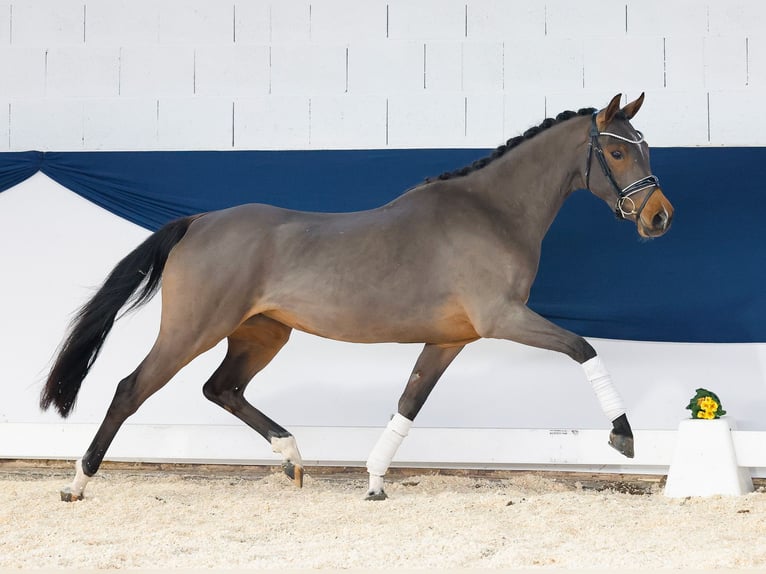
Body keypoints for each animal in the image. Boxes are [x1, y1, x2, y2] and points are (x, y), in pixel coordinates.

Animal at [45, 92, 676, 502]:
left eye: (644, 147)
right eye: (618, 153)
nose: (659, 217)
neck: (492, 212)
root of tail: (198, 223)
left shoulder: (450, 340)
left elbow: (409, 402)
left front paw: (374, 482)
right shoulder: (503, 318)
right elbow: (583, 347)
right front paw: (623, 436)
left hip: (262, 333)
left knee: (220, 389)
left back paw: (294, 460)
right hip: (191, 331)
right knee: (130, 389)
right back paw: (78, 483)